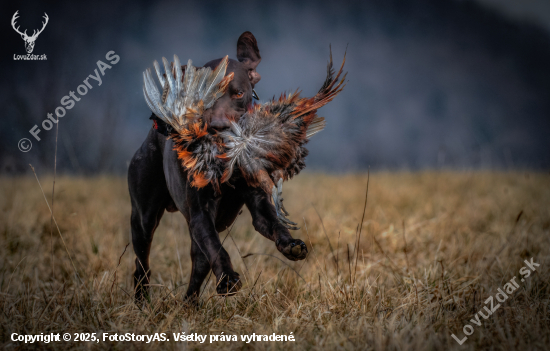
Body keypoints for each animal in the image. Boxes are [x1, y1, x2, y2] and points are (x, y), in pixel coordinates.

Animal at [130, 31, 310, 304]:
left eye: (238, 93)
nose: (219, 126)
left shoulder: (258, 204)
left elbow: (274, 223)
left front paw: (291, 245)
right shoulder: (200, 214)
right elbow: (218, 249)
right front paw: (227, 279)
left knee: (198, 265)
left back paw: (189, 303)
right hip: (144, 217)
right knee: (143, 265)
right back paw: (142, 301)